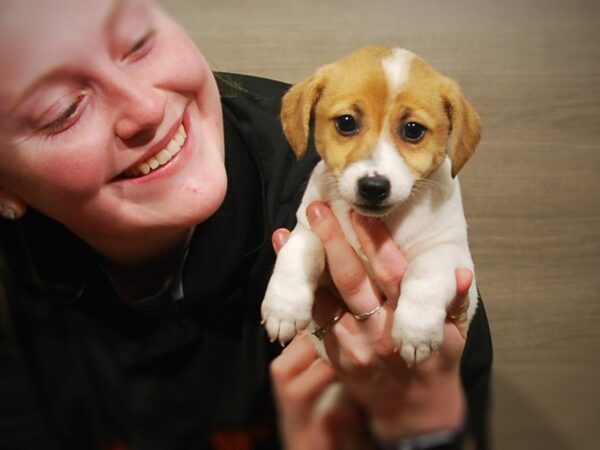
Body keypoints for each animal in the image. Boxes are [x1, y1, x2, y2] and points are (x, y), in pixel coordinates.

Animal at [262, 47, 482, 366]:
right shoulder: (309, 223)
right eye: (346, 122)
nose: (374, 187)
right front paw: (284, 306)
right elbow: (299, 251)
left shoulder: (449, 250)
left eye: (413, 130)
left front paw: (416, 331)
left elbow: (425, 274)